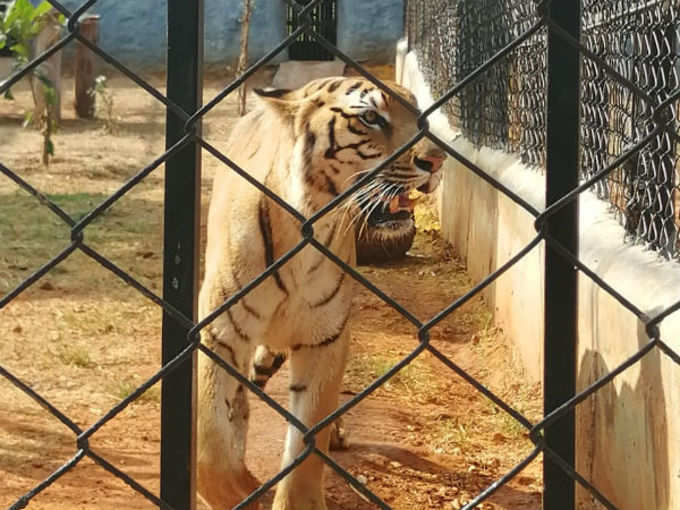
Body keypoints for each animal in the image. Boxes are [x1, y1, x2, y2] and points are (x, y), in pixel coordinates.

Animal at [197, 75, 446, 510]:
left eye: (419, 113)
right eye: (371, 117)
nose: (438, 160)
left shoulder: (325, 338)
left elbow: (308, 441)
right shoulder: (220, 330)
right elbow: (208, 443)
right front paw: (239, 488)